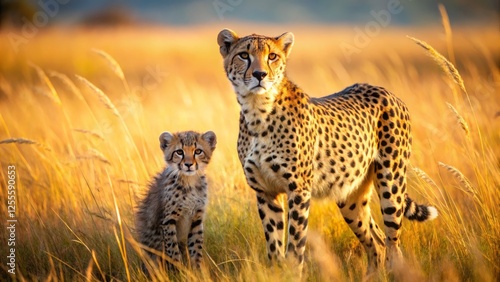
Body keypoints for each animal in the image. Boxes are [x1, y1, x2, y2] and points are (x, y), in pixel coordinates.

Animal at [217, 29, 436, 274]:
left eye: (272, 56)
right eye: (244, 55)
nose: (259, 74)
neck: (257, 110)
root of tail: (385, 90)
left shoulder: (299, 189)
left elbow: (295, 244)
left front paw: (293, 273)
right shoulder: (265, 192)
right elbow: (274, 245)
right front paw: (275, 273)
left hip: (391, 182)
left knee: (393, 243)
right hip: (350, 197)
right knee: (377, 242)